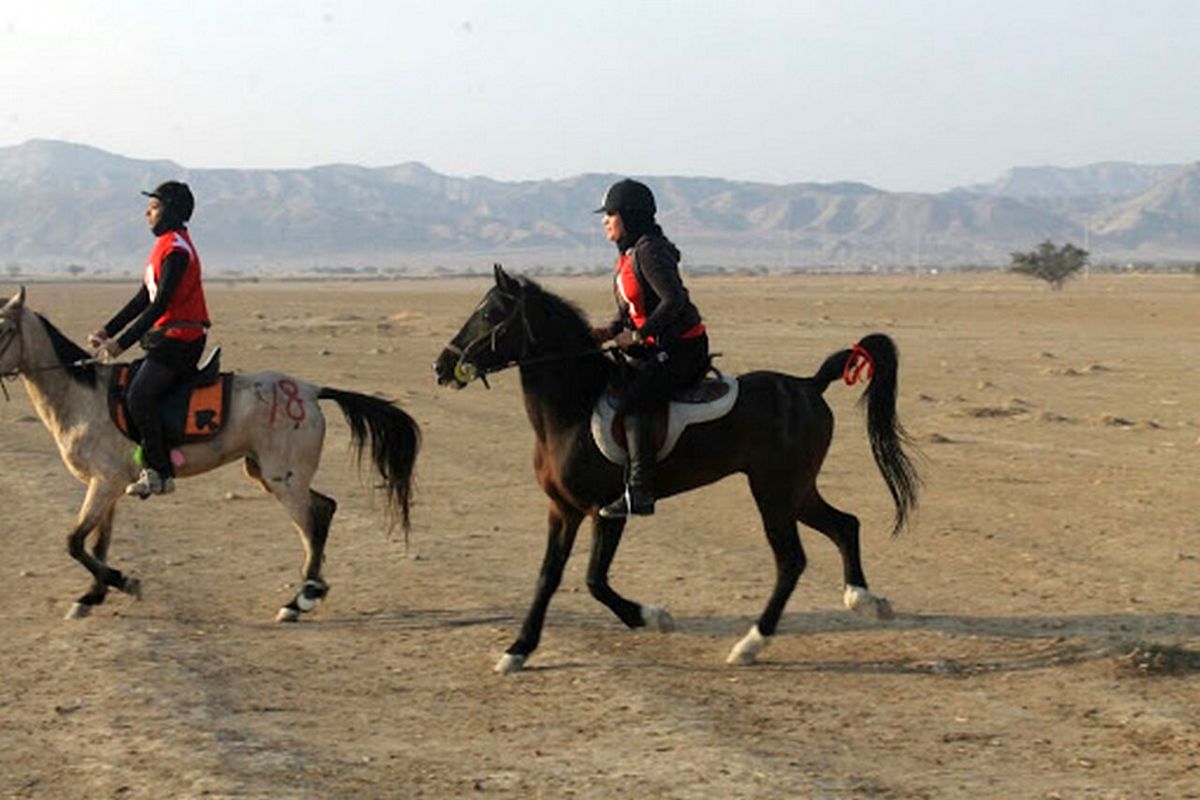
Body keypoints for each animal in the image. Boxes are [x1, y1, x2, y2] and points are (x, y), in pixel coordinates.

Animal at [0, 289, 422, 623]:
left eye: (4, 329)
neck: (82, 396)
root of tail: (310, 389)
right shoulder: (107, 486)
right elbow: (97, 544)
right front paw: (93, 595)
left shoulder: (104, 483)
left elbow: (74, 542)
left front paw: (125, 582)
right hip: (266, 473)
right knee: (325, 509)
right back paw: (310, 591)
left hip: (284, 479)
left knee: (311, 523)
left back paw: (300, 600)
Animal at [436, 266, 921, 671]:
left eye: (490, 314)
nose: (442, 365)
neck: (572, 410)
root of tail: (808, 385)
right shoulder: (563, 510)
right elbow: (547, 578)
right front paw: (517, 650)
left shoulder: (607, 511)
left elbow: (594, 580)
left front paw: (653, 617)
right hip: (797, 490)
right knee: (845, 524)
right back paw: (863, 600)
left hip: (774, 493)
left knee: (791, 561)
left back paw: (751, 644)